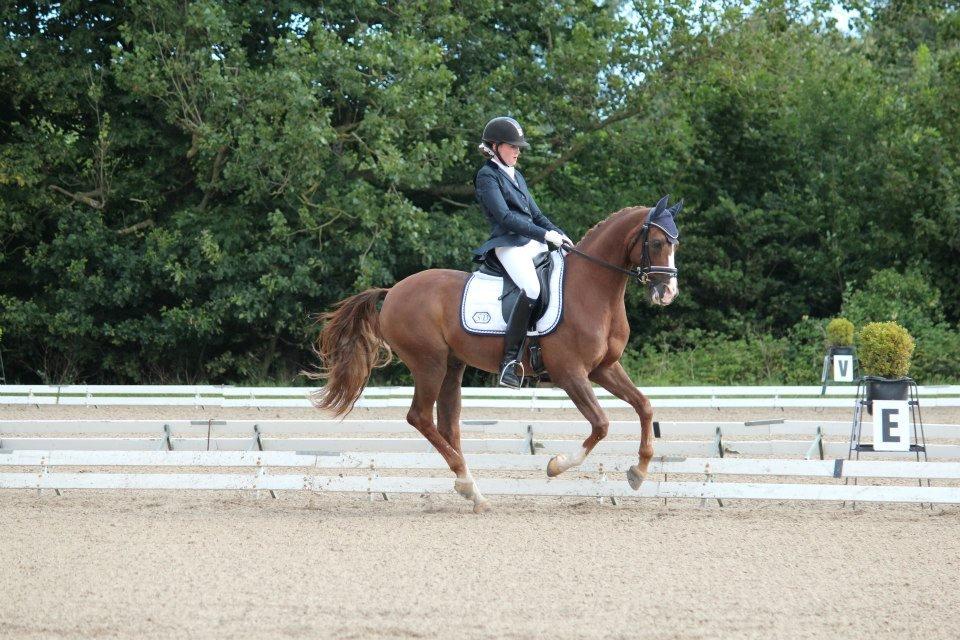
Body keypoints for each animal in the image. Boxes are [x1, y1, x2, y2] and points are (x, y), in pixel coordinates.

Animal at [306, 197, 681, 512]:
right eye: (657, 243)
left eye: (675, 244)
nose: (667, 293)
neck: (591, 289)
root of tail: (394, 290)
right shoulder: (571, 373)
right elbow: (601, 424)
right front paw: (556, 466)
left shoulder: (604, 367)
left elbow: (644, 406)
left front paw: (638, 472)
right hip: (429, 364)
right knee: (420, 418)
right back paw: (467, 483)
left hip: (452, 366)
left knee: (449, 425)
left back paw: (473, 491)